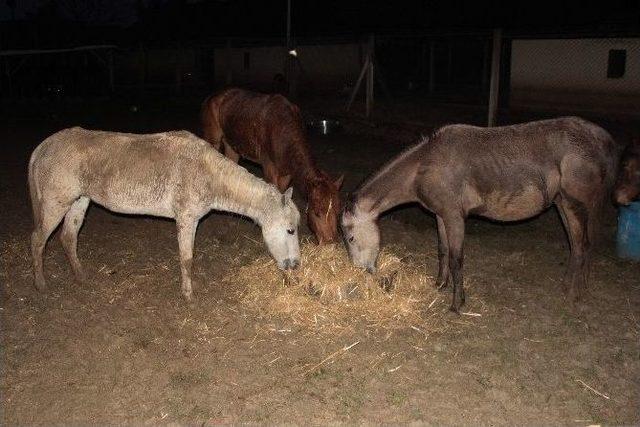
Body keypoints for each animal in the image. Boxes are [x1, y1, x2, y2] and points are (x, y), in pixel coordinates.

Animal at [28, 127, 302, 300]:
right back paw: (40, 285)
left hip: (79, 201)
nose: (296, 265)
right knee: (38, 240)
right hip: (55, 203)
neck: (208, 173)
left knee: (68, 237)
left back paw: (81, 276)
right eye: (290, 230)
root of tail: (43, 147)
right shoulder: (187, 219)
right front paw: (188, 295)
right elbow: (187, 258)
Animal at [204, 87, 344, 244]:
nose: (330, 242)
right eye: (317, 212)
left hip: (232, 146)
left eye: (338, 212)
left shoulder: (287, 172)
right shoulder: (269, 167)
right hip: (213, 139)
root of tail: (213, 96)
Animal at [344, 118, 620, 312]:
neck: (423, 166)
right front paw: (440, 285)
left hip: (575, 204)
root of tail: (601, 139)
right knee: (578, 245)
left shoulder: (455, 217)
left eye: (350, 238)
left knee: (582, 246)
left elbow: (456, 259)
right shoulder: (441, 216)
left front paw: (457, 304)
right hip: (563, 204)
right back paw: (575, 286)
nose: (361, 271)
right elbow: (443, 251)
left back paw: (572, 293)